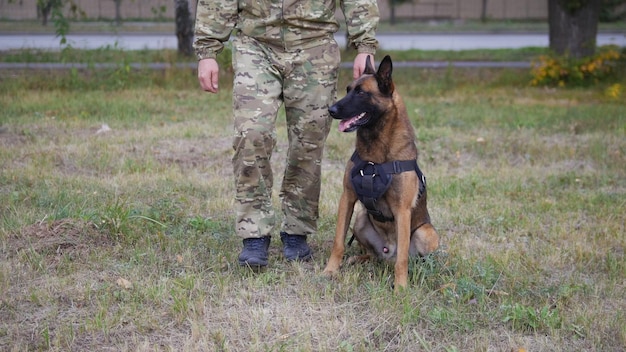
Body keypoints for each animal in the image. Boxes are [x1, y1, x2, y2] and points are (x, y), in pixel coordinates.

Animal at [322, 55, 438, 290]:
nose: (331, 110)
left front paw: (401, 288)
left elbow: (402, 259)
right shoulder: (347, 198)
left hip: (426, 233)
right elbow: (338, 241)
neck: (375, 154)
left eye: (361, 93)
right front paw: (330, 270)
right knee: (372, 254)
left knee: (409, 257)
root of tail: (387, 253)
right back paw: (359, 258)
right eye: (348, 89)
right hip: (360, 220)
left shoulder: (402, 211)